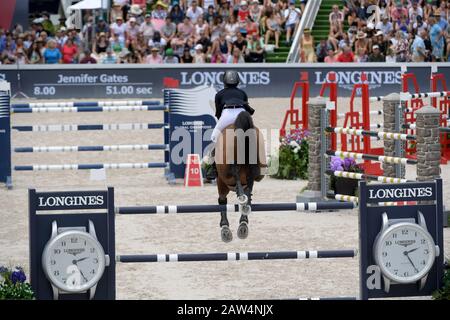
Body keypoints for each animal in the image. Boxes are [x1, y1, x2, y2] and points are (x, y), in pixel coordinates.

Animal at [214, 111, 266, 241]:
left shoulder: (221, 181)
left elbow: (222, 201)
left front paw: (225, 227)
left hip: (224, 176)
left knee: (234, 173)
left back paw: (240, 196)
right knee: (249, 183)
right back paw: (243, 223)